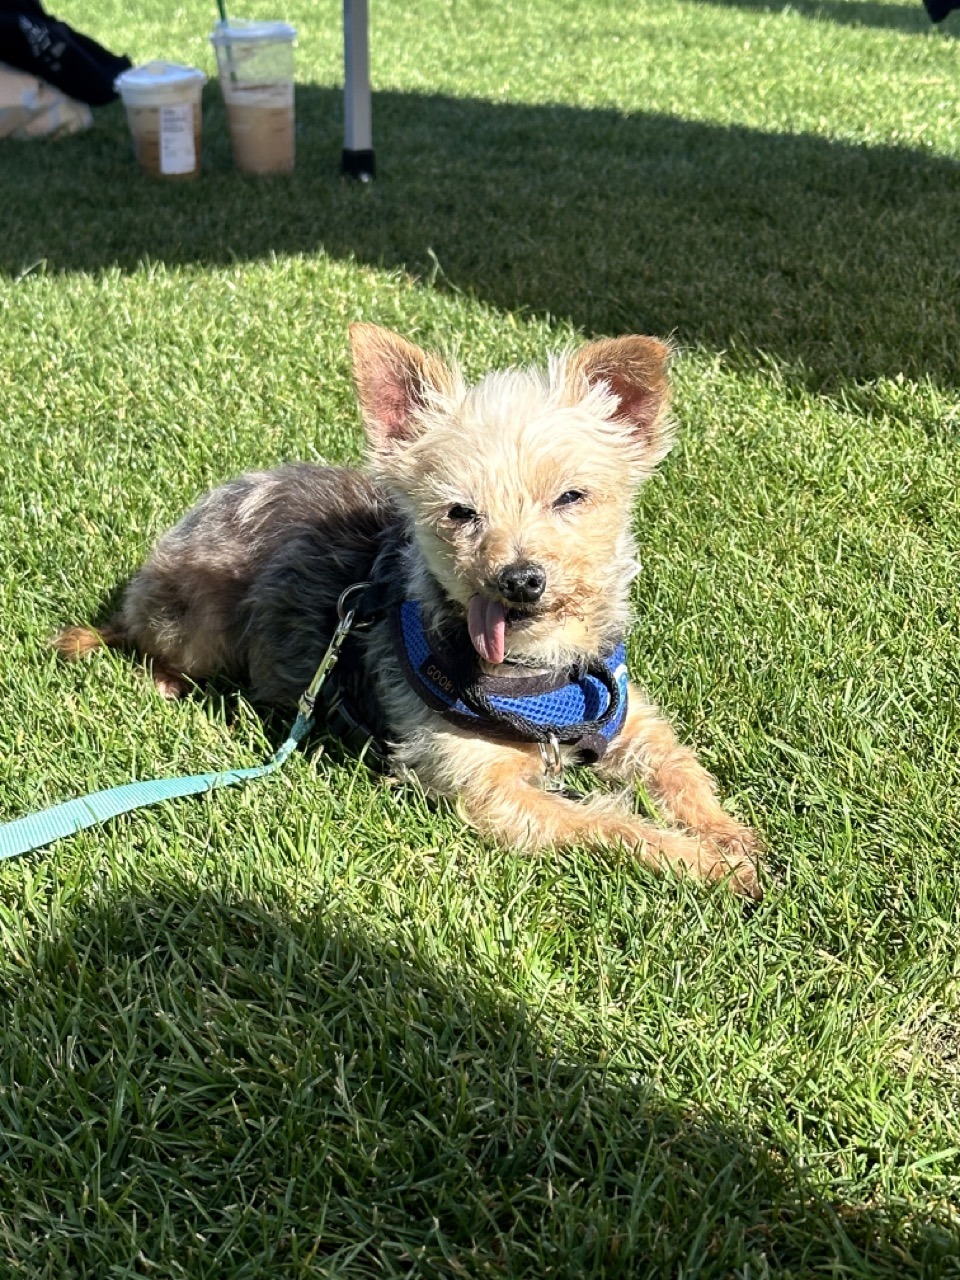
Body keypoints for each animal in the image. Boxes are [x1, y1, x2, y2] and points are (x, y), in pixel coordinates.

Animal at [58, 325, 757, 896]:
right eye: (460, 512)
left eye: (570, 497)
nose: (520, 579)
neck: (538, 674)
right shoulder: (489, 791)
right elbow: (609, 827)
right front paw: (700, 860)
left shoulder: (631, 720)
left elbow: (681, 771)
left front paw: (728, 836)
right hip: (195, 623)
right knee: (145, 640)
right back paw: (159, 676)